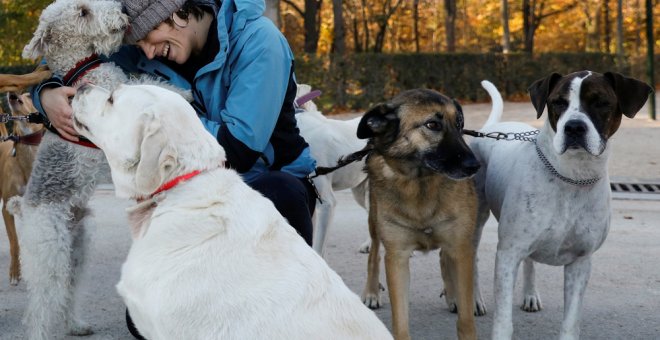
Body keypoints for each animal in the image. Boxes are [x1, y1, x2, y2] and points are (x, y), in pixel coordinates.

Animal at [472, 72, 652, 340]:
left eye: (601, 102)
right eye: (558, 102)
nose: (574, 127)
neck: (572, 178)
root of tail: (491, 129)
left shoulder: (580, 262)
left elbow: (570, 322)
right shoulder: (508, 255)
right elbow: (503, 322)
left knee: (529, 262)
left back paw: (530, 295)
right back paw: (471, 300)